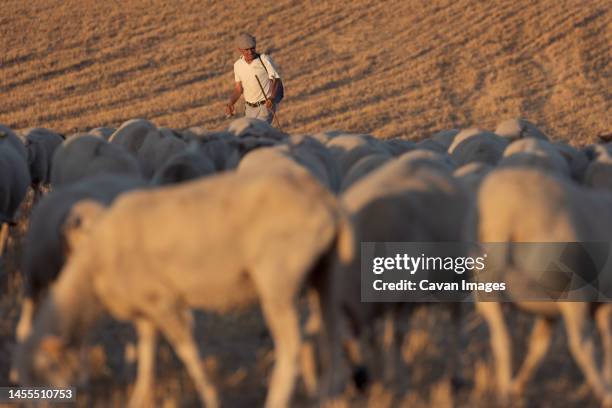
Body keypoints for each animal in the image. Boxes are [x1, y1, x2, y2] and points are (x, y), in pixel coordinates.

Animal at [15, 169, 354, 408]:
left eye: (44, 368)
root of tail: (324, 200)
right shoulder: (146, 306)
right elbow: (147, 352)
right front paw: (140, 398)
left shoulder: (163, 302)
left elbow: (187, 351)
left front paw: (211, 397)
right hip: (325, 272)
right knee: (332, 334)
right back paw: (330, 397)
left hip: (277, 280)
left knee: (292, 346)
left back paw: (278, 400)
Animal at [478, 167, 612, 406]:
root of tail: (508, 214)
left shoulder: (554, 313)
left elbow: (539, 346)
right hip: (571, 293)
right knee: (582, 345)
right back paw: (605, 394)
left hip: (489, 293)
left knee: (503, 340)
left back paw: (507, 392)